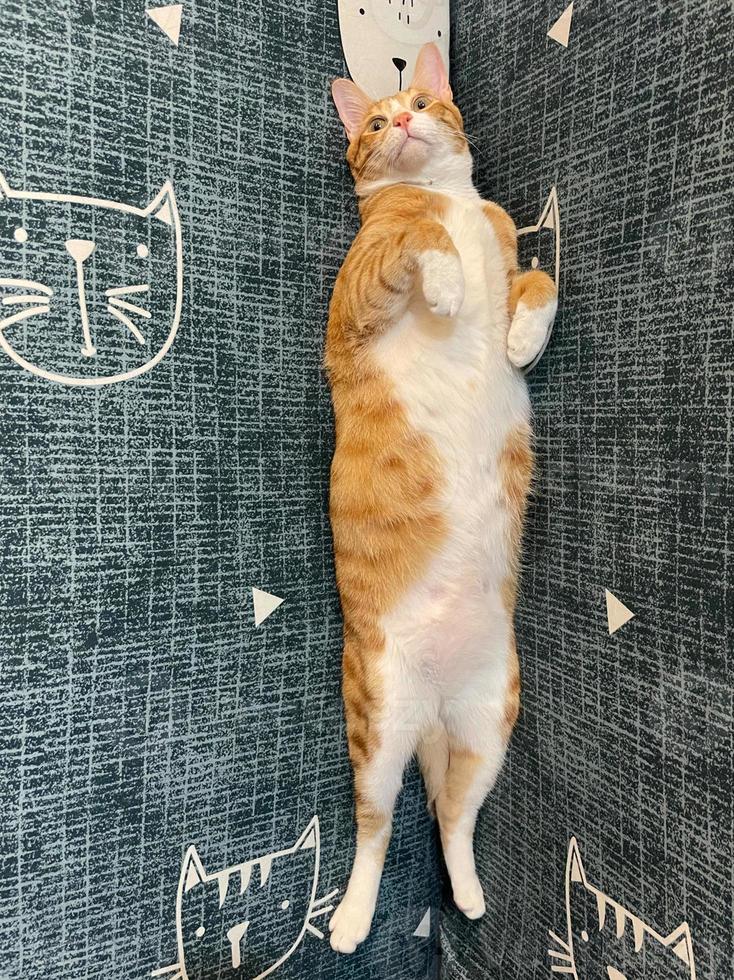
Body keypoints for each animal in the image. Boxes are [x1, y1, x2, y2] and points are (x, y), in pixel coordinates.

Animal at [328, 42, 556, 952]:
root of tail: (429, 715)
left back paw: (468, 893)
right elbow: (416, 241)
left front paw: (520, 336)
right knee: (375, 824)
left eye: (422, 101)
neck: (445, 195)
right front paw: (450, 282)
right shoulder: (355, 294)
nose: (403, 120)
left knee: (455, 818)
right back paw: (350, 919)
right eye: (375, 123)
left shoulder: (508, 242)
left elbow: (538, 275)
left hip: (491, 719)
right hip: (379, 716)